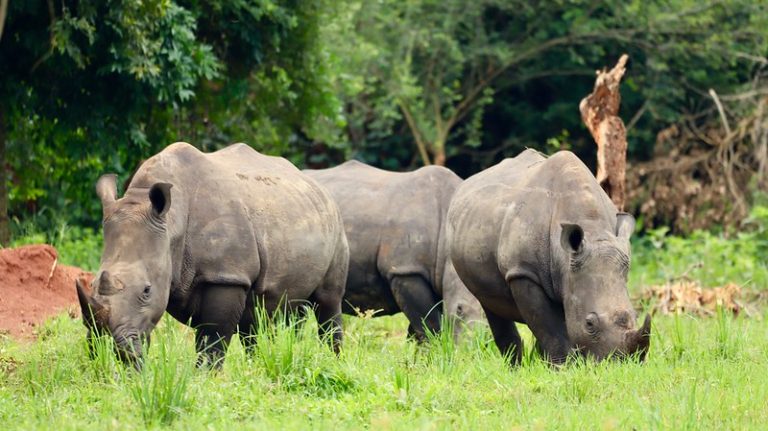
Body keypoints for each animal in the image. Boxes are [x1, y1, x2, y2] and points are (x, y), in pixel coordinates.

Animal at [76, 143, 349, 366]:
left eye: (146, 290)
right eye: (92, 283)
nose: (104, 343)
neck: (172, 225)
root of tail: (316, 185)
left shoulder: (225, 275)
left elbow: (212, 338)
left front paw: (204, 378)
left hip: (335, 225)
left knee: (328, 300)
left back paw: (334, 361)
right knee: (256, 315)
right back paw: (255, 368)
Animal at [447, 149, 650, 364]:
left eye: (635, 315)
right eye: (589, 324)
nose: (621, 364)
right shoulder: (523, 271)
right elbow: (550, 329)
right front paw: (564, 367)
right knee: (490, 304)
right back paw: (515, 367)